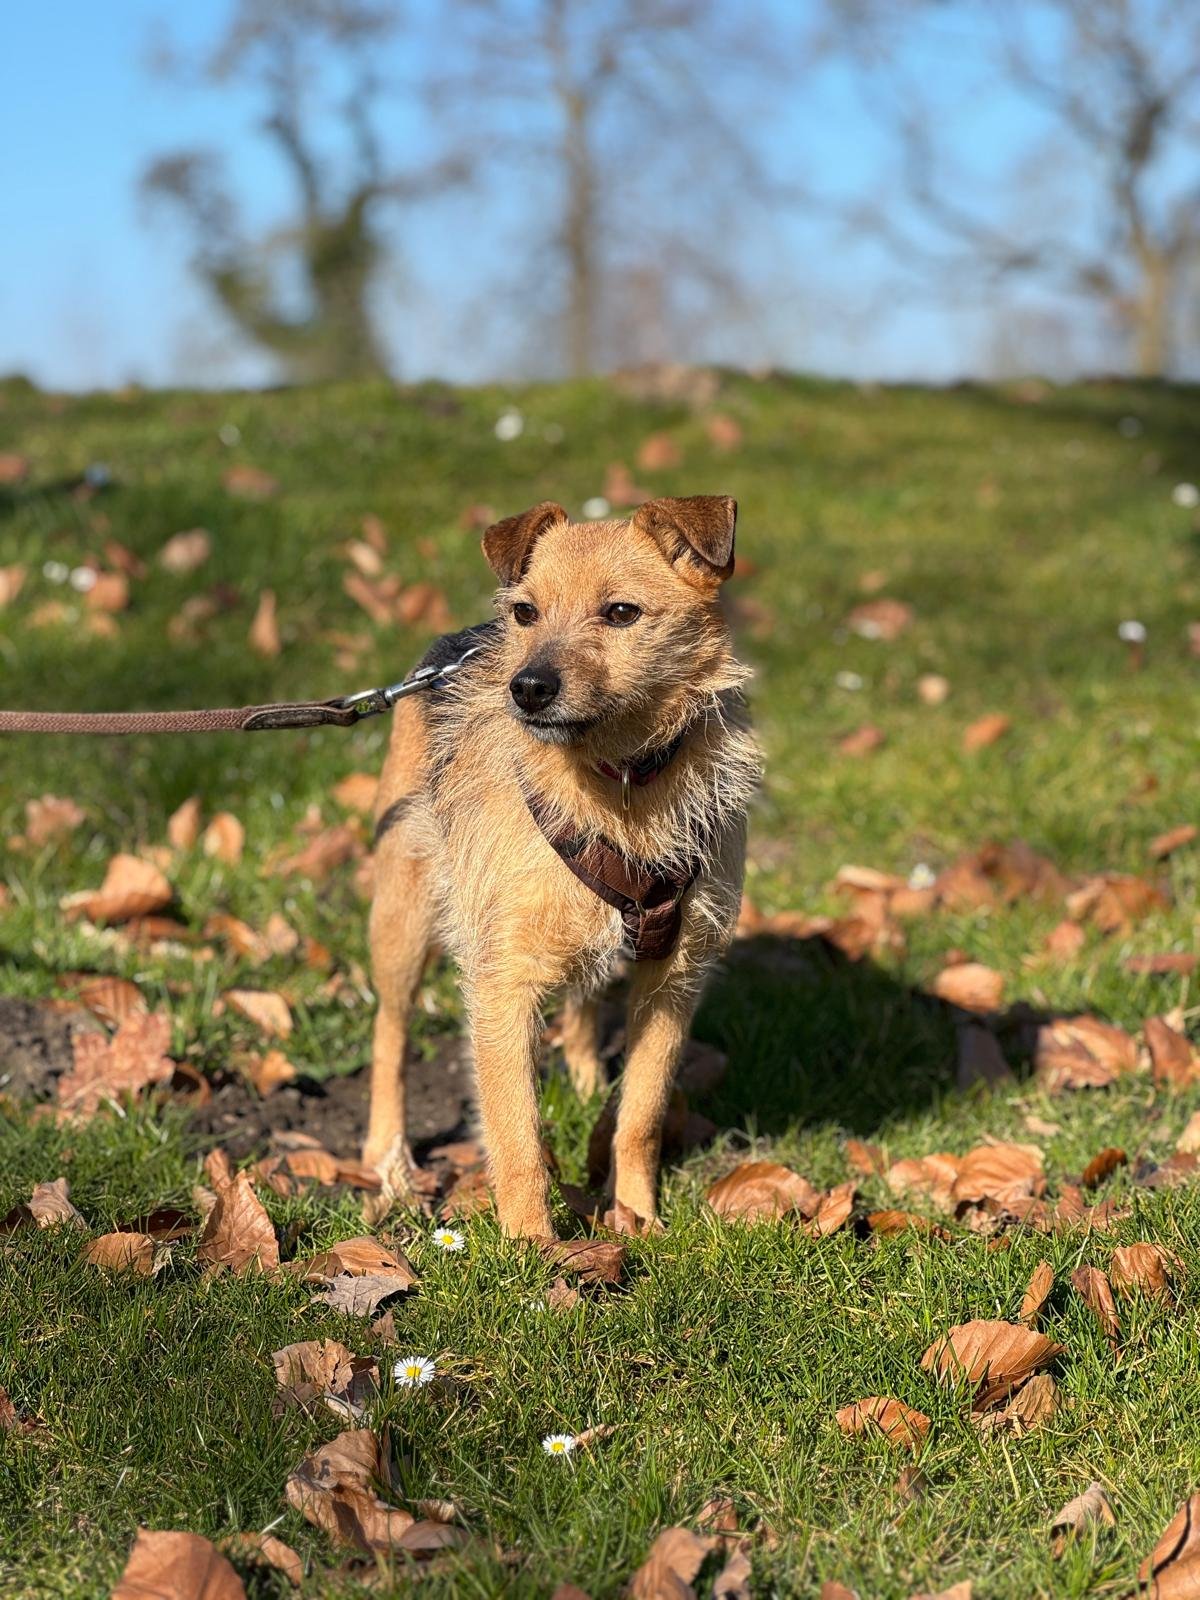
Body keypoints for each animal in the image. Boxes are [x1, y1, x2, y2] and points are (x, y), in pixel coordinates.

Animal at [363, 494, 759, 1238]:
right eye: (526, 612)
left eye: (622, 612)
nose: (528, 688)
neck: (620, 781)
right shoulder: (502, 984)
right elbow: (516, 1133)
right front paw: (532, 1248)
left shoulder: (674, 977)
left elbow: (640, 1116)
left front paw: (636, 1217)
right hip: (402, 918)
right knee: (391, 1036)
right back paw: (388, 1160)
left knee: (582, 1004)